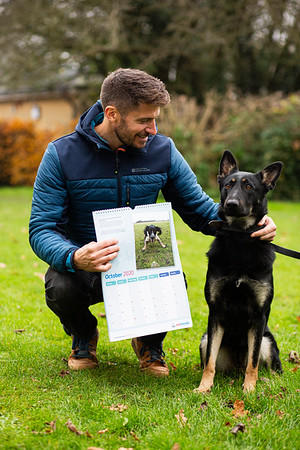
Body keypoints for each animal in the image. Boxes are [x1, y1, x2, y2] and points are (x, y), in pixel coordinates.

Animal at [195, 149, 284, 392]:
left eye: (249, 187)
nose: (232, 204)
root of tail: (236, 365)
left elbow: (253, 362)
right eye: (228, 185)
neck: (240, 238)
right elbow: (210, 362)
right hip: (205, 339)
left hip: (267, 340)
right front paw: (204, 388)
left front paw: (249, 390)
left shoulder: (258, 315)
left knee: (268, 367)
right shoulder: (215, 313)